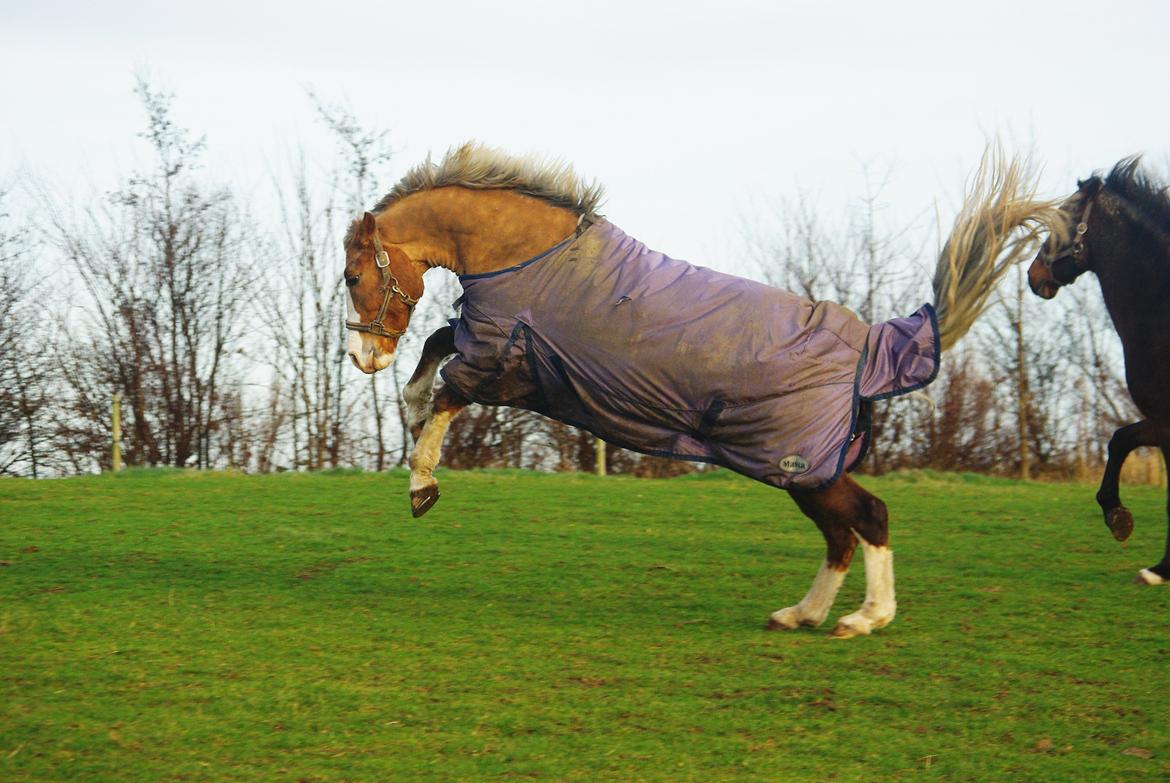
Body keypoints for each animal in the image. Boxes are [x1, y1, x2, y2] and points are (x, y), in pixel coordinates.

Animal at [341, 145, 1057, 636]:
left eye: (351, 275)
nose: (361, 356)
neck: (527, 257)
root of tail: (875, 345)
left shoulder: (504, 362)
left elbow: (444, 388)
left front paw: (422, 485)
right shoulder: (498, 351)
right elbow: (437, 347)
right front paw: (407, 411)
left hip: (800, 465)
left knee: (869, 517)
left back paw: (865, 619)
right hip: (801, 471)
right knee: (842, 533)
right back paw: (801, 615)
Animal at [1029, 159, 1170, 582]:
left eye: (1061, 218)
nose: (1033, 275)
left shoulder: (1165, 422)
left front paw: (1159, 568)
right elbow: (1119, 439)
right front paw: (1120, 519)